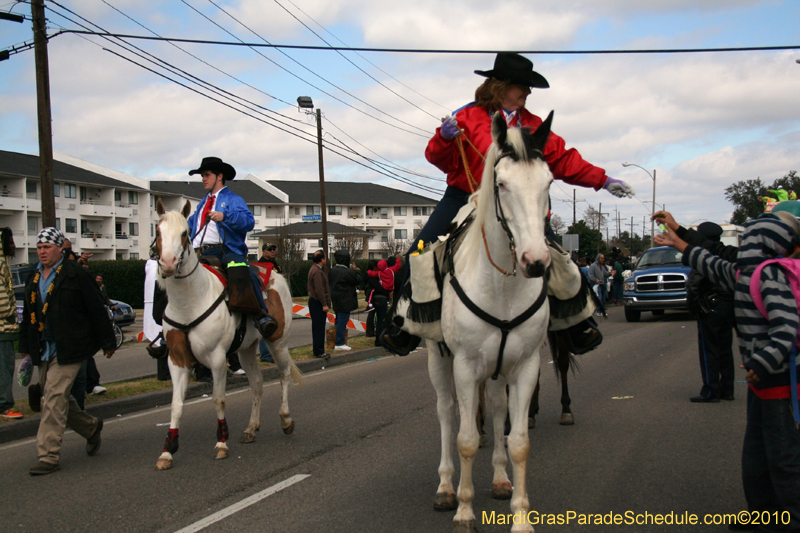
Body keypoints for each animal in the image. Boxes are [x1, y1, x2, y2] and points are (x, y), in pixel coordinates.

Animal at [154, 200, 304, 470]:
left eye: (184, 233)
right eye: (158, 232)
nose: (169, 263)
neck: (190, 301)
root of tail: (276, 274)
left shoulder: (216, 358)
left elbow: (218, 399)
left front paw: (221, 443)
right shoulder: (177, 360)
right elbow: (176, 404)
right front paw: (168, 450)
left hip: (277, 342)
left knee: (284, 376)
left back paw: (286, 419)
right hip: (245, 349)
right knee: (257, 384)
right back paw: (251, 428)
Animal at [428, 110, 552, 528]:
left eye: (549, 182)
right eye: (502, 183)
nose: (535, 261)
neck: (502, 285)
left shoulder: (526, 365)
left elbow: (519, 443)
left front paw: (521, 517)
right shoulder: (465, 366)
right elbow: (466, 439)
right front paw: (465, 512)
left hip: (500, 367)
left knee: (497, 408)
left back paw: (499, 479)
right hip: (439, 359)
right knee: (447, 412)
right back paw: (446, 488)